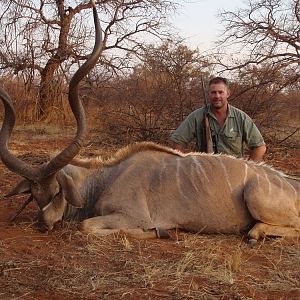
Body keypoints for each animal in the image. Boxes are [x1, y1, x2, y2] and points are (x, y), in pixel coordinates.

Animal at [0, 10, 300, 246]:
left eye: (56, 192)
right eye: (34, 195)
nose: (43, 224)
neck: (106, 177)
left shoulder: (133, 215)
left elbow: (88, 226)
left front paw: (160, 232)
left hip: (256, 198)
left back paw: (254, 233)